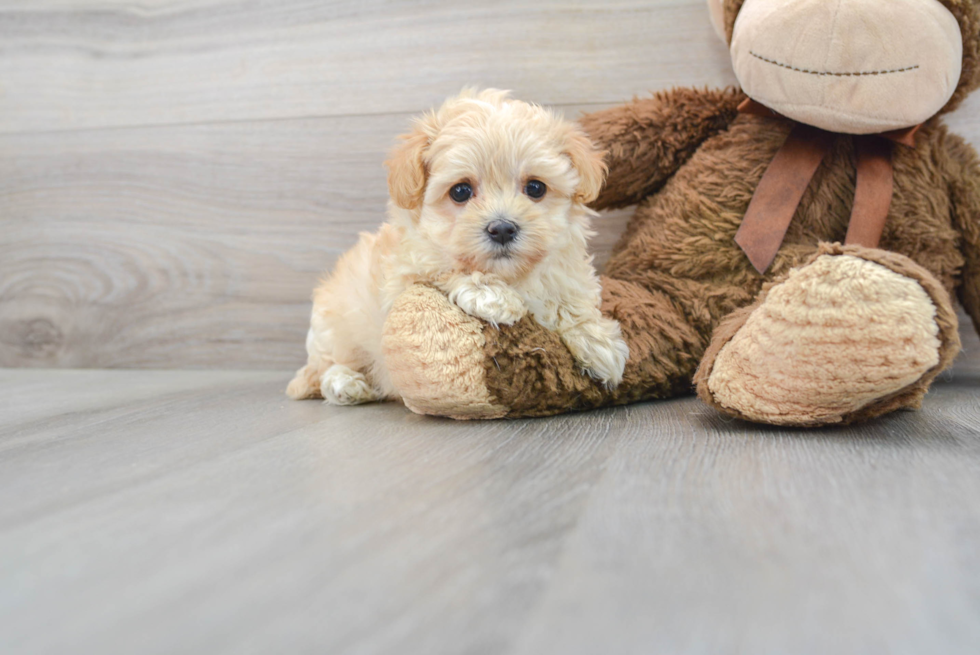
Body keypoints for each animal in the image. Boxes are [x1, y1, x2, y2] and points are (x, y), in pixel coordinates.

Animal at [288, 87, 632, 404]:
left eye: (535, 188)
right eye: (460, 191)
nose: (502, 228)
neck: (512, 275)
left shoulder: (564, 271)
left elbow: (571, 299)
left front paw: (598, 342)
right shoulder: (402, 279)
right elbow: (445, 269)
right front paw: (493, 296)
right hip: (335, 330)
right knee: (325, 368)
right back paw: (347, 383)